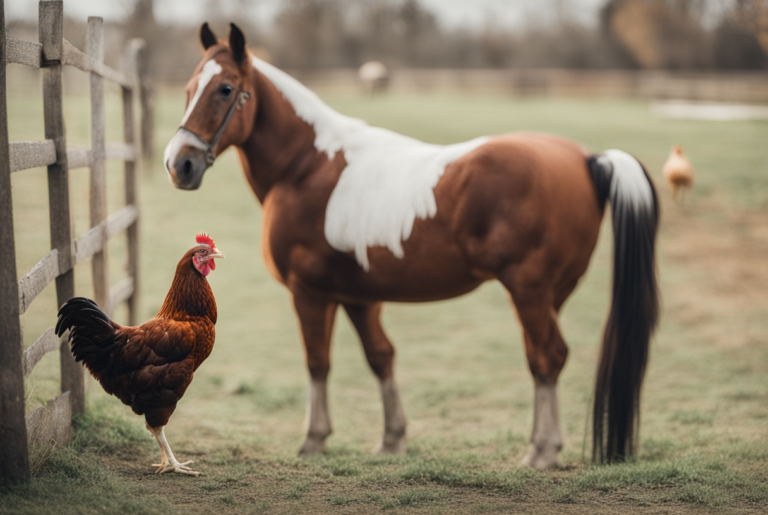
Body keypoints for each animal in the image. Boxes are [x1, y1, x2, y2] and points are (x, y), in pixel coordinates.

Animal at [163, 23, 659, 469]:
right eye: (188, 89)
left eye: (225, 89)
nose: (178, 164)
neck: (306, 166)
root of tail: (586, 157)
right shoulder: (358, 296)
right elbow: (381, 357)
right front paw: (392, 439)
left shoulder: (310, 293)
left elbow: (318, 363)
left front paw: (314, 440)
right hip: (550, 295)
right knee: (542, 360)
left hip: (529, 291)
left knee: (547, 357)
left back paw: (542, 450)